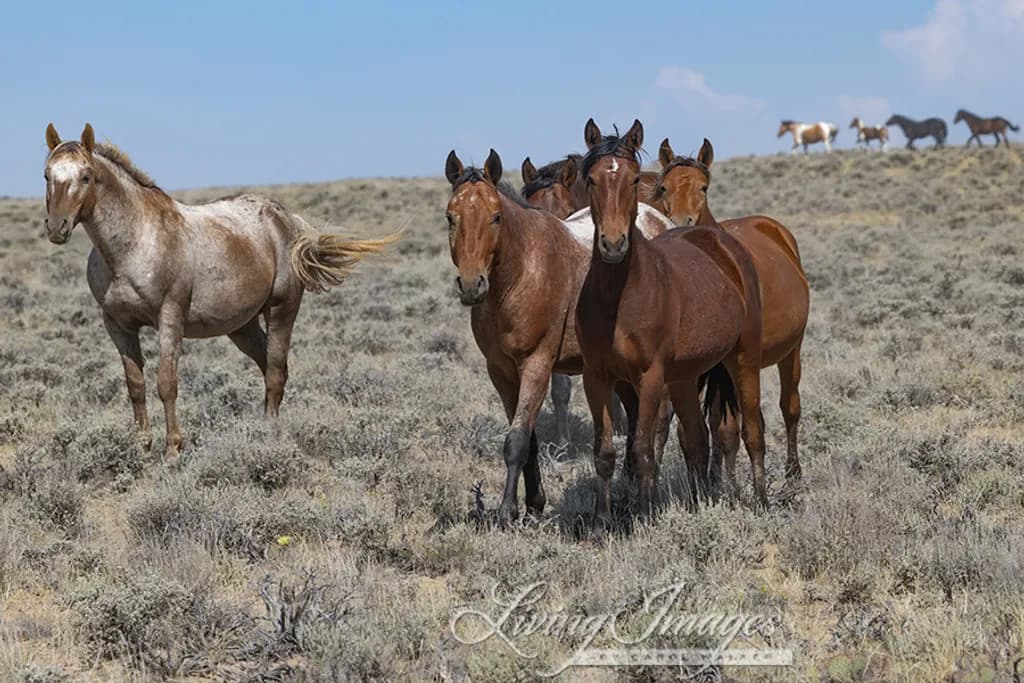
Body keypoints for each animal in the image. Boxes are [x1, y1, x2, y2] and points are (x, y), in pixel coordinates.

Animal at [42, 123, 397, 458]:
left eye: (86, 176)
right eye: (47, 174)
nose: (57, 227)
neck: (134, 244)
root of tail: (287, 220)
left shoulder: (169, 319)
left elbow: (166, 383)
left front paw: (172, 450)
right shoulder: (118, 325)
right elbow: (136, 385)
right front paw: (142, 448)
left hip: (281, 310)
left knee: (274, 372)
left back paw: (269, 438)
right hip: (242, 327)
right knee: (272, 367)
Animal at [444, 148, 672, 526]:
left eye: (495, 217)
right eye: (451, 217)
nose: (472, 284)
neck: (521, 274)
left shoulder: (537, 364)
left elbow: (517, 440)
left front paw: (506, 512)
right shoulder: (501, 373)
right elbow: (529, 438)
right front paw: (533, 502)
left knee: (660, 421)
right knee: (635, 414)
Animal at [575, 118, 767, 533]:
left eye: (634, 179)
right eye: (592, 179)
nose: (612, 244)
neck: (620, 295)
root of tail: (722, 242)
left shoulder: (649, 378)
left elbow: (643, 450)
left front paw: (645, 516)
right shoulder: (596, 377)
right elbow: (605, 452)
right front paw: (600, 523)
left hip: (743, 360)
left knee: (752, 431)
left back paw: (762, 502)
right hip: (684, 377)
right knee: (696, 439)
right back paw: (700, 504)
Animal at [656, 137, 808, 494]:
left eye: (704, 187)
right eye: (663, 187)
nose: (681, 223)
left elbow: (727, 430)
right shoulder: (699, 372)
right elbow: (696, 431)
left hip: (790, 352)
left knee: (789, 408)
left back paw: (793, 472)